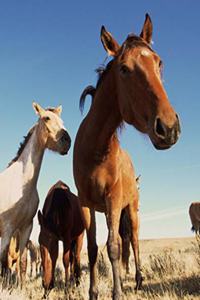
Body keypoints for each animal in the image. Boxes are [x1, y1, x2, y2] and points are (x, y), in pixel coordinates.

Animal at [0, 102, 71, 276]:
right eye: (46, 118)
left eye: (62, 120)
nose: (67, 141)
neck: (21, 183)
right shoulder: (7, 229)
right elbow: (4, 263)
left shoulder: (26, 228)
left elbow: (22, 263)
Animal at [73, 14, 180, 300]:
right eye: (123, 69)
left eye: (159, 62)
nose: (169, 127)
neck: (96, 149)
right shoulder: (87, 203)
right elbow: (92, 248)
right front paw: (93, 293)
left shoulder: (112, 200)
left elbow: (113, 246)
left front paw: (117, 293)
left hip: (130, 210)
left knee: (132, 240)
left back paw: (140, 279)